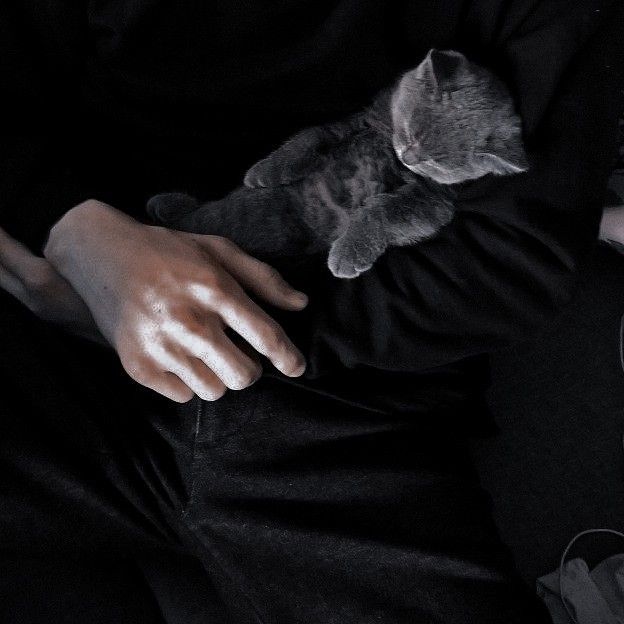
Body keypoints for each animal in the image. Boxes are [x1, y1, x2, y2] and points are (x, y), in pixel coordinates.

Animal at [147, 50, 528, 280]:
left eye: (438, 164)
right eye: (410, 131)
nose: (408, 158)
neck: (388, 145)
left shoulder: (433, 201)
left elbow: (383, 211)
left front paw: (347, 254)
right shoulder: (354, 124)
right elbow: (310, 136)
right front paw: (264, 171)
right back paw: (167, 205)